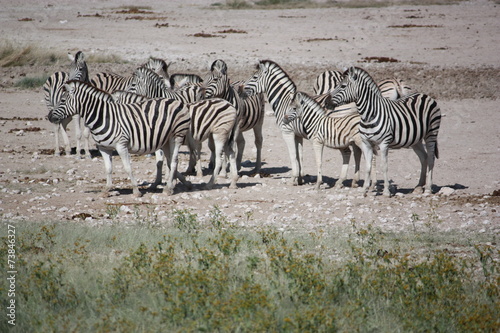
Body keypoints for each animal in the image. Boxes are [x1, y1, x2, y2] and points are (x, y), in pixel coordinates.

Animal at [47, 79, 191, 196]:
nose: (48, 116)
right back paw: (173, 184)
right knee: (169, 160)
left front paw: (136, 191)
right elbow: (108, 169)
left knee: (174, 160)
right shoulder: (103, 148)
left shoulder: (121, 145)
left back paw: (168, 189)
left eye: (63, 100)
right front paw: (107, 189)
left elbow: (127, 168)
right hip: (165, 140)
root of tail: (177, 101)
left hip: (177, 136)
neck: (104, 117)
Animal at [328, 67, 442, 196]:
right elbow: (368, 166)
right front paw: (364, 190)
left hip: (431, 133)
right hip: (415, 138)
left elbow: (384, 166)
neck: (369, 115)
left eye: (343, 86)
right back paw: (418, 187)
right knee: (424, 157)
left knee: (431, 158)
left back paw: (428, 188)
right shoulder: (366, 143)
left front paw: (386, 191)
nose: (327, 102)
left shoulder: (384, 143)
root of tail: (425, 95)